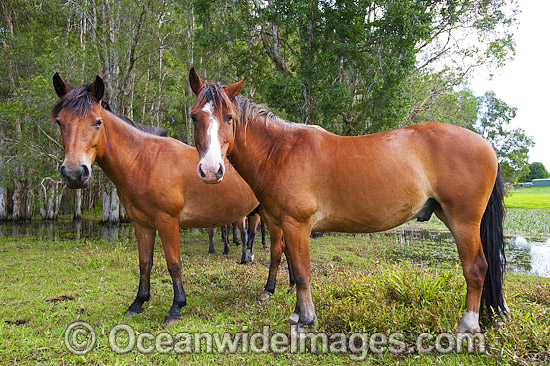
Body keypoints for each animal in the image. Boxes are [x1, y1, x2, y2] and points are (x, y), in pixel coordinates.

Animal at [50, 73, 260, 324]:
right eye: (60, 122)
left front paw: (176, 307)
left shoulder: (167, 221)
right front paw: (138, 302)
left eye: (97, 121)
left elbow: (174, 263)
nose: (74, 173)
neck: (144, 160)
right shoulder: (142, 224)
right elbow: (145, 263)